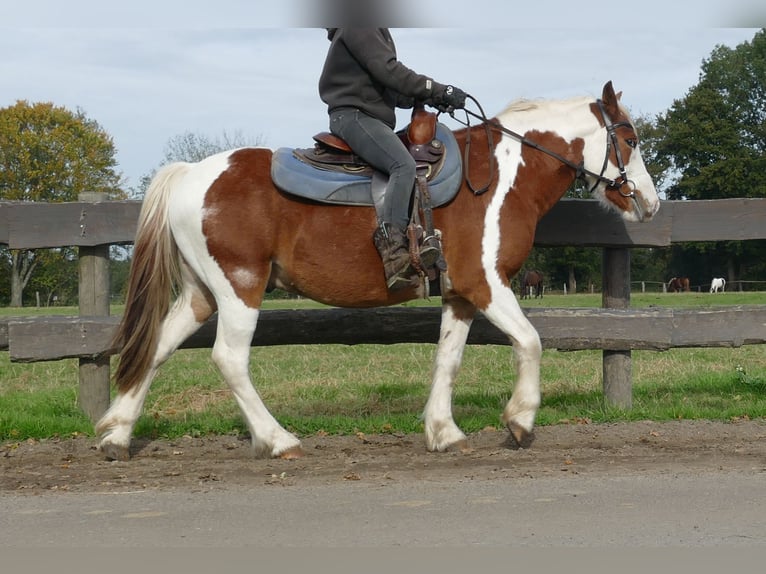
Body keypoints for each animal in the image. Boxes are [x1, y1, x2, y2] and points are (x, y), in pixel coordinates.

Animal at [94, 81, 660, 462]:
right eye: (630, 138)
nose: (650, 203)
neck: (500, 178)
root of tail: (191, 173)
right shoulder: (485, 283)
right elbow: (530, 341)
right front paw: (519, 421)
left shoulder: (459, 294)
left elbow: (448, 360)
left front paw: (443, 431)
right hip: (240, 288)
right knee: (229, 359)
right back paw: (278, 440)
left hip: (201, 294)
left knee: (156, 347)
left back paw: (117, 434)